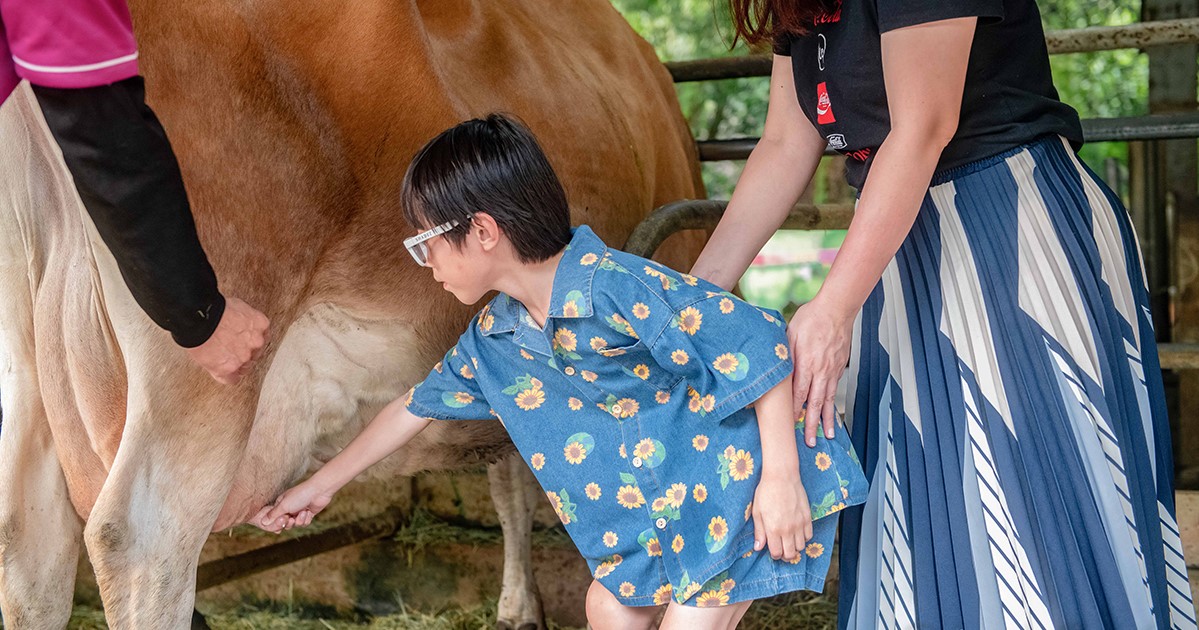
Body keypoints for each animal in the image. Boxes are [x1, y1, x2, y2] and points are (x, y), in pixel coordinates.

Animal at [0, 0, 700, 624]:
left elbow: (515, 476)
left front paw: (516, 607)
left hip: (27, 360)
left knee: (26, 541)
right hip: (208, 346)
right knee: (141, 539)